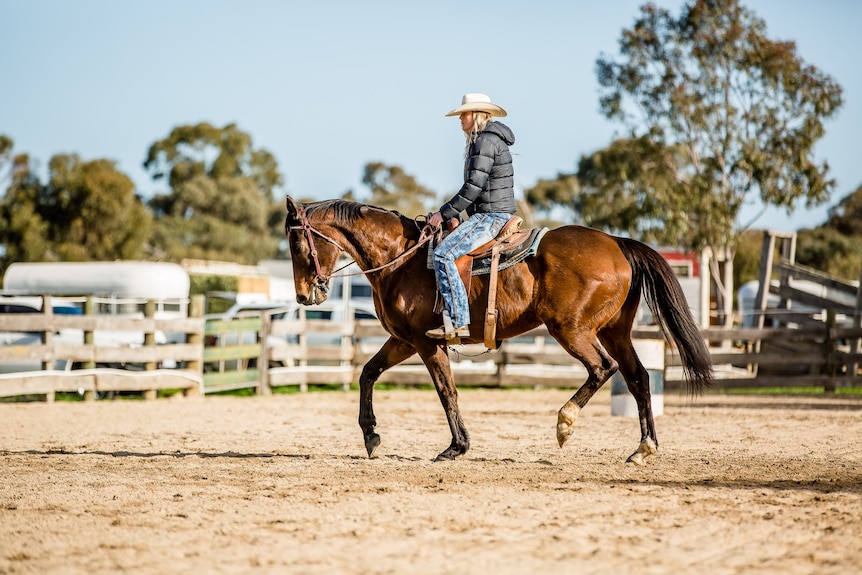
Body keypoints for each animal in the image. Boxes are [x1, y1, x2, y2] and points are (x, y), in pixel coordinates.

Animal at [286, 196, 716, 466]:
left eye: (297, 242)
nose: (305, 295)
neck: (400, 259)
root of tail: (615, 242)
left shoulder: (426, 343)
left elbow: (446, 391)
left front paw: (456, 447)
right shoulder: (403, 341)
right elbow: (367, 373)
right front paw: (371, 436)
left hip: (572, 330)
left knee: (602, 369)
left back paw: (565, 424)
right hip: (615, 331)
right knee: (639, 378)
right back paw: (643, 448)